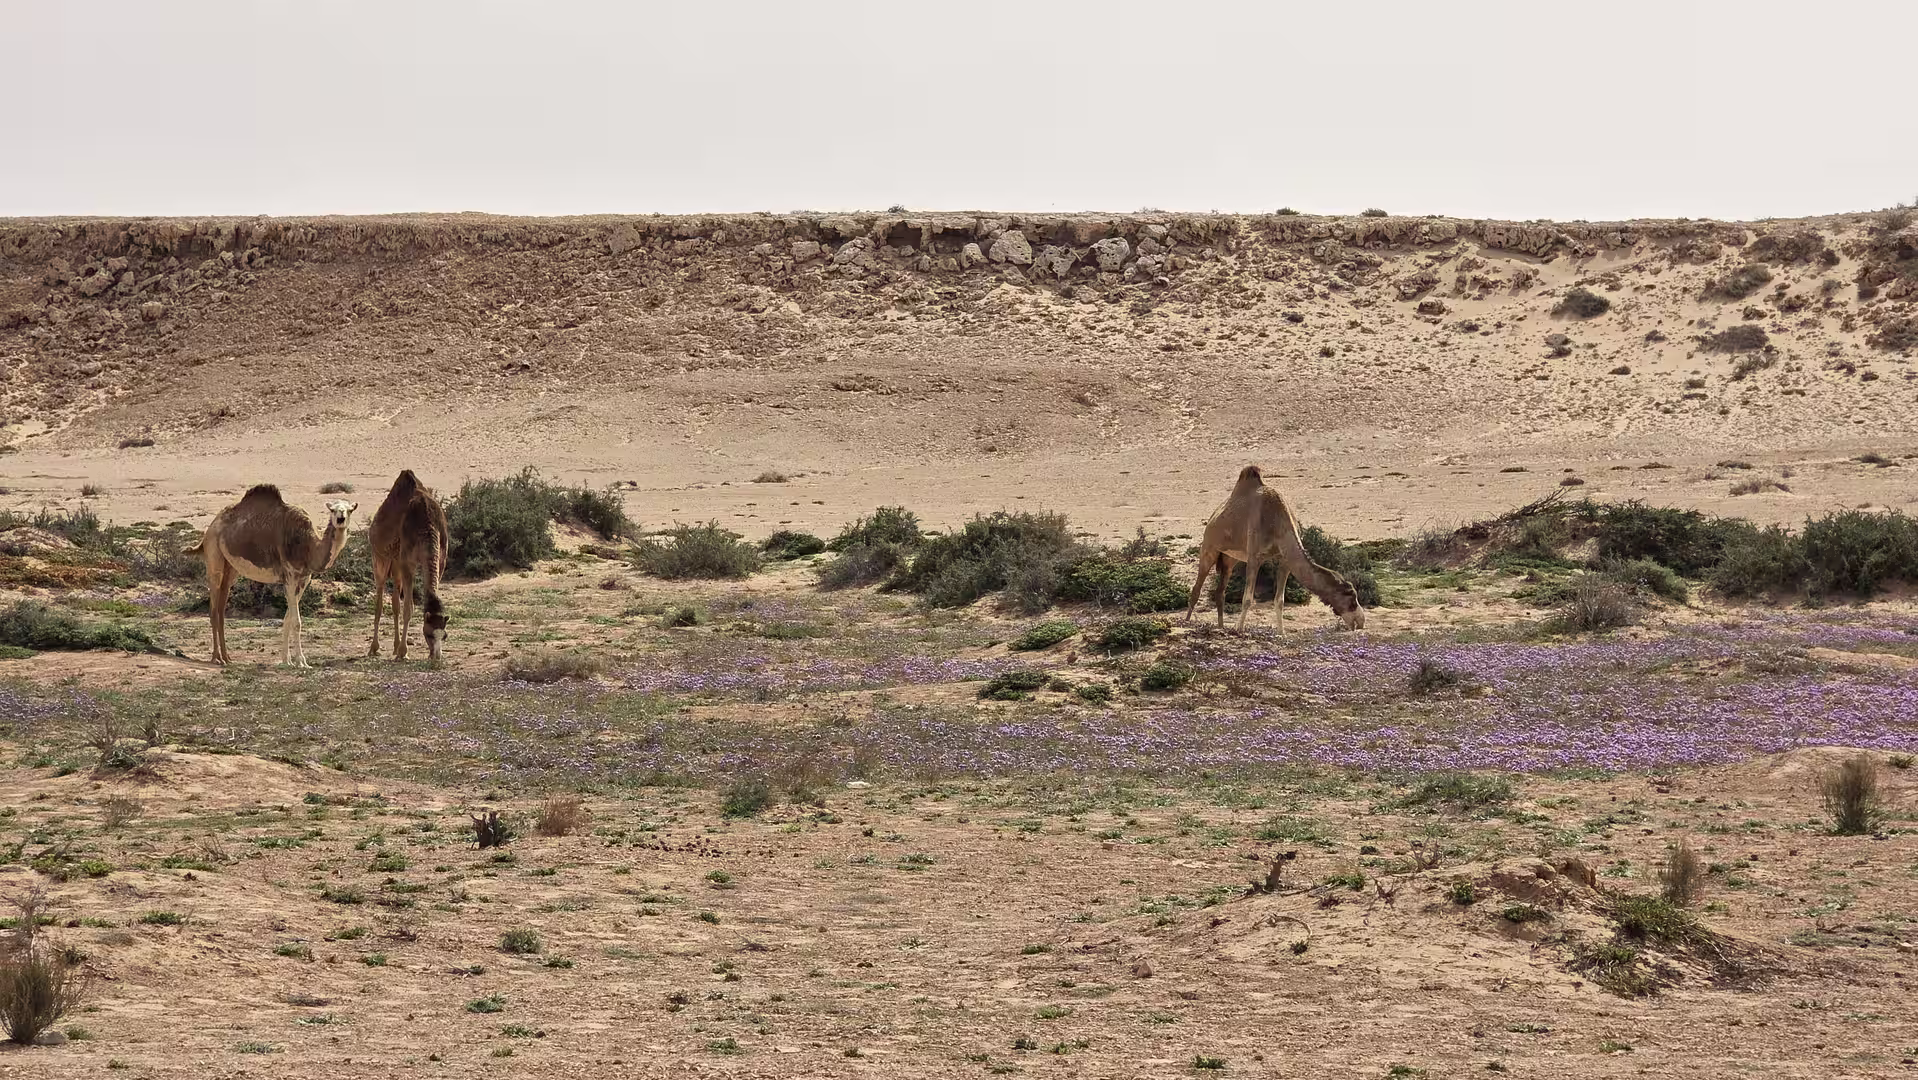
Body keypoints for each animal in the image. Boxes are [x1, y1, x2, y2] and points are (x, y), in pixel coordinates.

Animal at [193, 486, 357, 666]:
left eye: (350, 510)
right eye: (333, 510)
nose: (340, 518)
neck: (308, 546)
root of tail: (211, 526)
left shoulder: (304, 579)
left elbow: (288, 619)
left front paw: (287, 660)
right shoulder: (290, 575)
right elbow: (296, 622)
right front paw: (301, 662)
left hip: (230, 569)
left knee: (221, 609)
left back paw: (227, 657)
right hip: (214, 556)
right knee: (214, 610)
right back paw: (216, 658)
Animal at [367, 469, 450, 662]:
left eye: (444, 635)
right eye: (428, 634)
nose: (437, 656)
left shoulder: (441, 560)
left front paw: (402, 650)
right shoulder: (407, 562)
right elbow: (409, 609)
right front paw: (403, 652)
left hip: (396, 564)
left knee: (395, 601)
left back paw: (395, 646)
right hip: (380, 558)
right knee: (380, 597)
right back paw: (374, 648)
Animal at [1185, 465, 1366, 633]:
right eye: (1351, 598)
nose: (1361, 621)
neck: (1278, 524)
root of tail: (1213, 517)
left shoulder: (1285, 561)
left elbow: (1280, 600)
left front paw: (1281, 633)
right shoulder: (1254, 557)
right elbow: (1247, 599)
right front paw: (1239, 629)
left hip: (1230, 559)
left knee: (1220, 592)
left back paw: (1221, 627)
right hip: (1209, 547)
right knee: (1197, 588)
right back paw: (1187, 622)